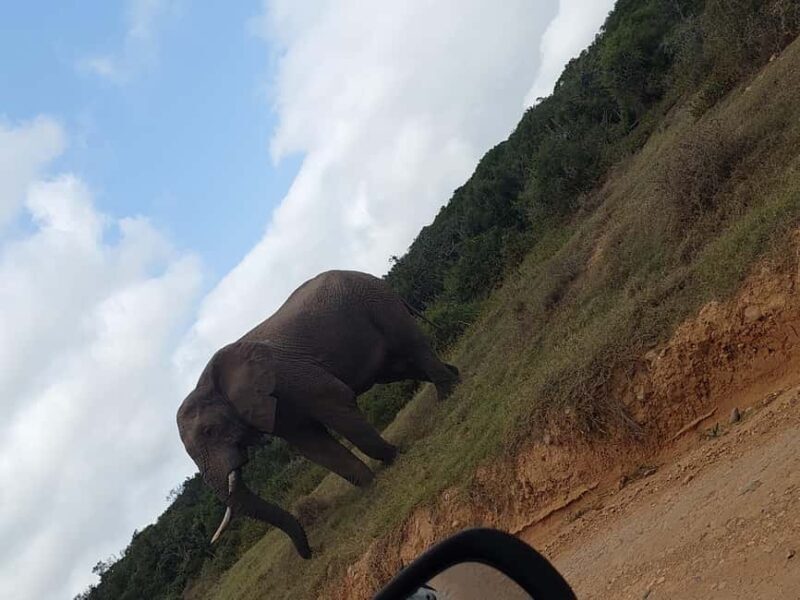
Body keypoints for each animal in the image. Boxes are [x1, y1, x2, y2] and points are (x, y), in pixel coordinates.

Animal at [176, 270, 460, 558]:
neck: (207, 381)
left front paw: (394, 456)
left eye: (209, 431)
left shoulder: (289, 375)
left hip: (378, 302)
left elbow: (337, 401)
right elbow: (312, 446)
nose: (312, 553)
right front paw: (373, 482)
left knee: (411, 345)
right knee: (399, 368)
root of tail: (368, 276)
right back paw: (455, 377)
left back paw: (448, 394)